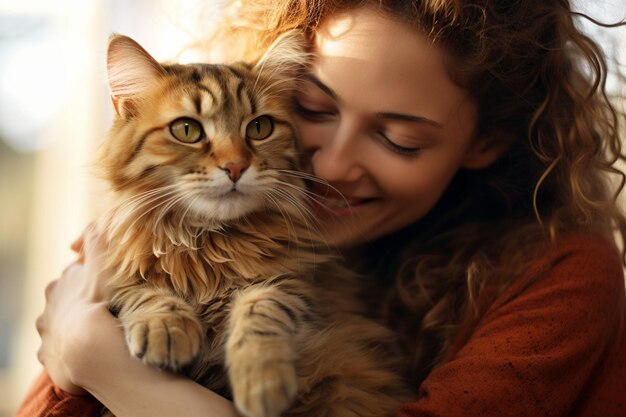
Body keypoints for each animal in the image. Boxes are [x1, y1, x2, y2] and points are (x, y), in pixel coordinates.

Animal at [95, 33, 412, 416]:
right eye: (187, 130)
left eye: (259, 128)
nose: (235, 167)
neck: (209, 243)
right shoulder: (110, 278)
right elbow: (144, 291)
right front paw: (165, 328)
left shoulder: (294, 282)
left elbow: (261, 309)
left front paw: (262, 380)